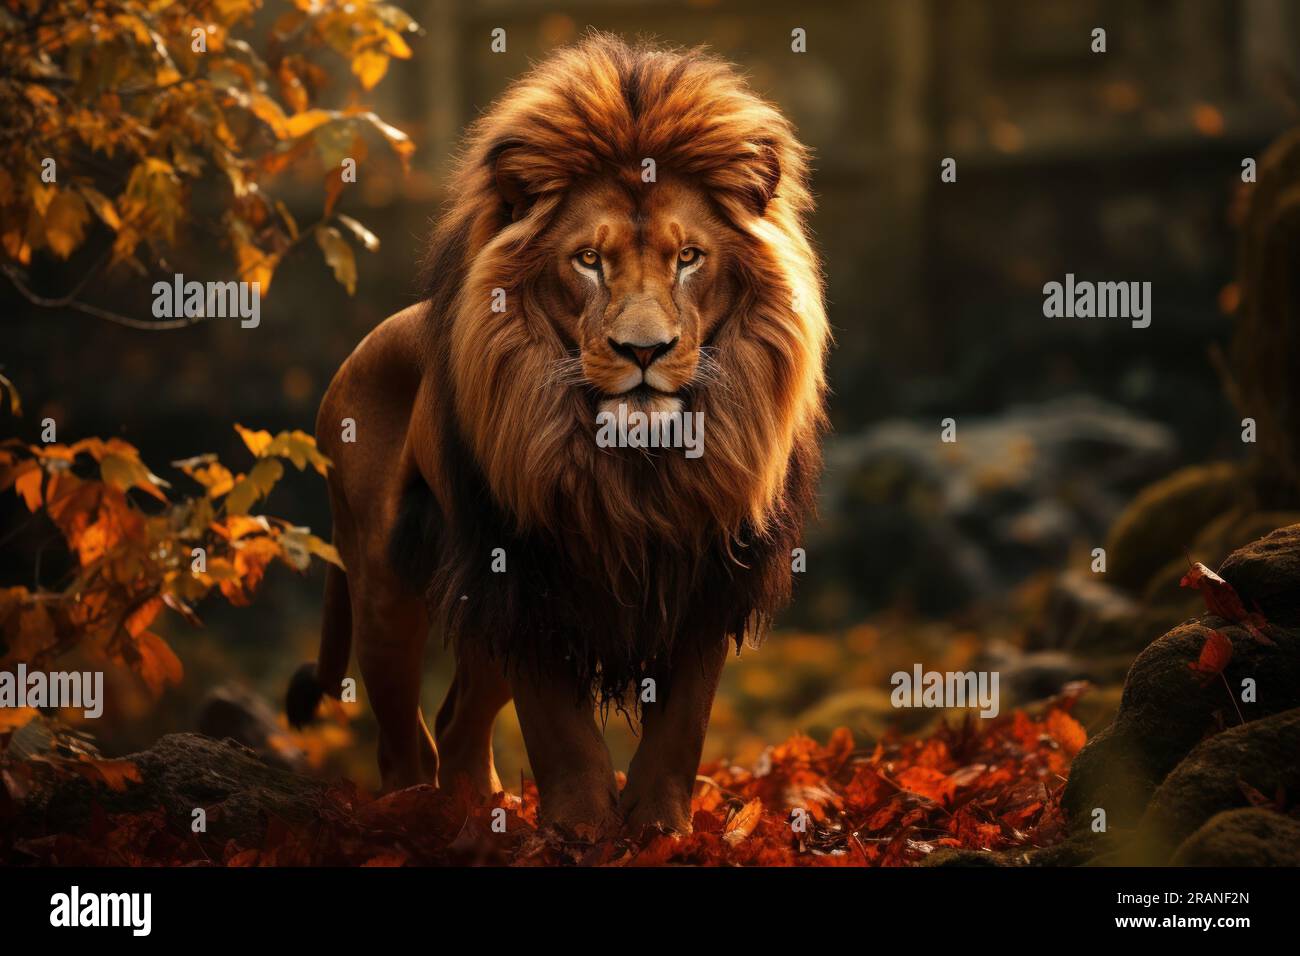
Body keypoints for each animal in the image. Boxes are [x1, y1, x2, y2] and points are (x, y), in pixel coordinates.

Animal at [287, 32, 829, 838]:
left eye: (689, 258)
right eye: (589, 260)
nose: (645, 351)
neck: (635, 466)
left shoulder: (708, 569)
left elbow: (682, 724)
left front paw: (658, 829)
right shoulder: (521, 571)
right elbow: (558, 728)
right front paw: (582, 828)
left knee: (456, 722)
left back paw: (478, 814)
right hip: (384, 589)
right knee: (401, 735)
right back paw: (416, 818)